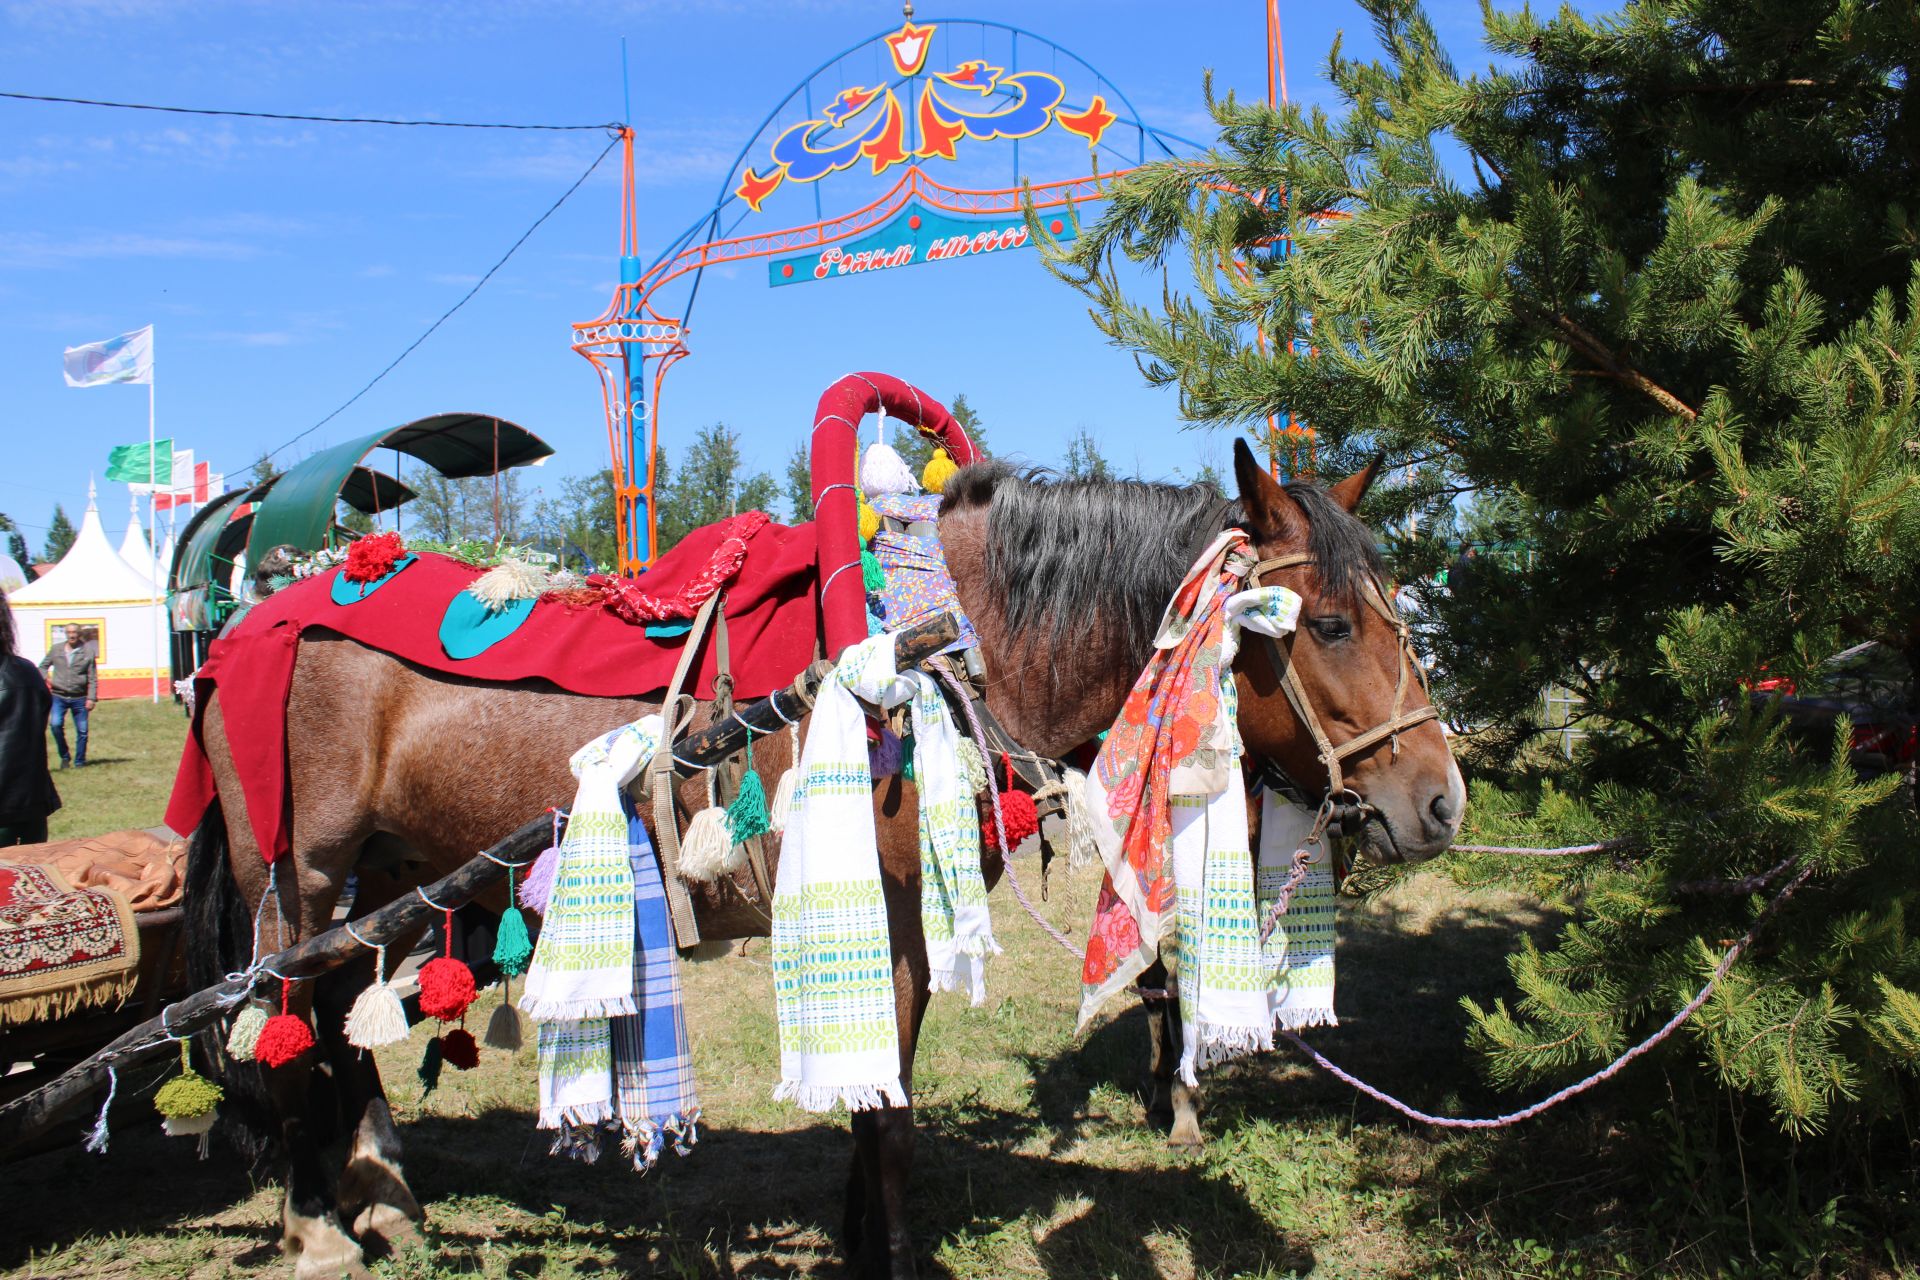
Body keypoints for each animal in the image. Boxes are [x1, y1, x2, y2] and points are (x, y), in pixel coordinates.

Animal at [187, 443, 1459, 1280]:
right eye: (1327, 623)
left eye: (1401, 606)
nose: (1440, 798)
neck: (948, 636)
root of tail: (248, 620)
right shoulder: (885, 913)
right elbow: (885, 1106)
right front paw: (885, 1251)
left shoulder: (905, 927)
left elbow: (880, 1090)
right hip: (299, 882)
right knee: (287, 1030)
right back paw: (316, 1223)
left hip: (389, 881)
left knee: (341, 1020)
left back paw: (386, 1197)